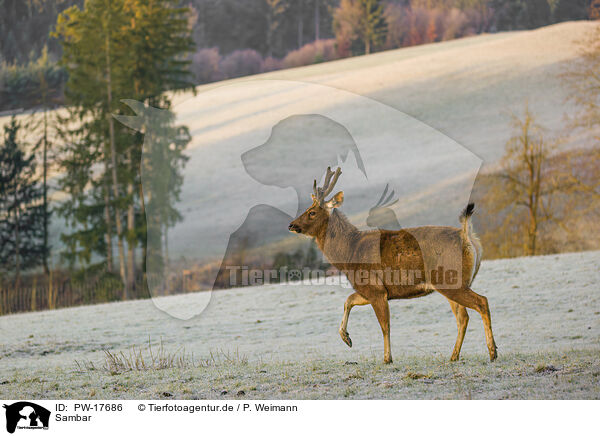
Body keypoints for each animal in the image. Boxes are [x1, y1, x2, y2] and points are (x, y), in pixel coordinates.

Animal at [288, 167, 496, 364]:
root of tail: (468, 238)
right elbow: (348, 300)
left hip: (450, 280)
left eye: (312, 212)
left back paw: (492, 352)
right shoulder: (371, 290)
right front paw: (346, 338)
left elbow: (384, 325)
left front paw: (387, 358)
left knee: (481, 302)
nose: (291, 225)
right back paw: (454, 356)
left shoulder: (375, 289)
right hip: (451, 283)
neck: (349, 252)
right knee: (463, 317)